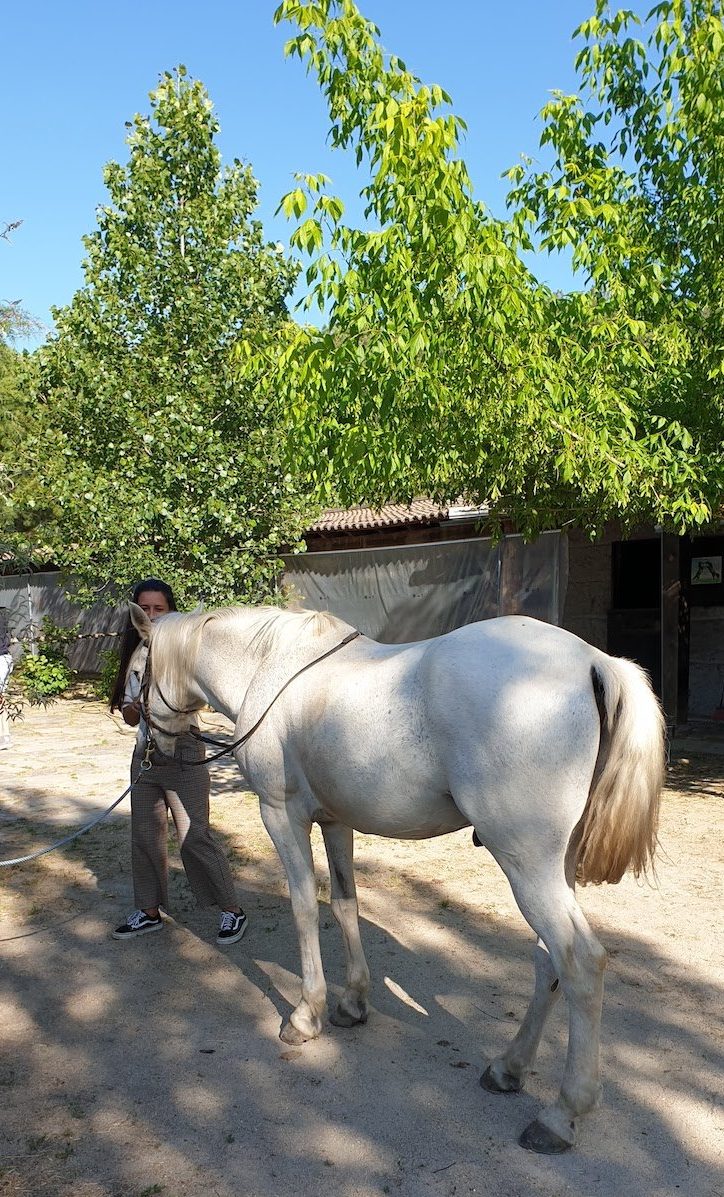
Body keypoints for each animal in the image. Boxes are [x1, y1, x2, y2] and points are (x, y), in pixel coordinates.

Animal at [128, 603, 660, 1153]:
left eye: (137, 672)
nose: (146, 742)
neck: (270, 668)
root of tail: (594, 662)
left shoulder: (281, 814)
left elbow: (304, 906)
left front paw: (307, 1014)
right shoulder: (335, 821)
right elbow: (344, 904)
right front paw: (352, 1002)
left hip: (526, 865)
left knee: (580, 962)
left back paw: (561, 1114)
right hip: (555, 867)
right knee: (546, 960)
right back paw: (508, 1068)